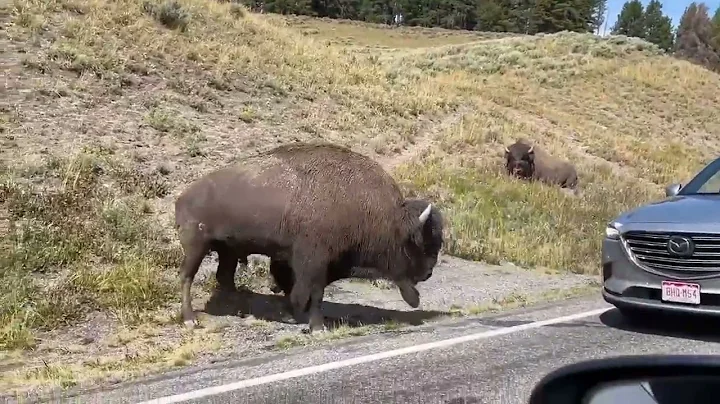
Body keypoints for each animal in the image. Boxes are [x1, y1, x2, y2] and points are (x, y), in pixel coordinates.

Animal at [174, 142, 444, 333]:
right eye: (421, 244)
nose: (428, 272)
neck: (385, 217)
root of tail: (184, 196)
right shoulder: (314, 261)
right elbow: (312, 292)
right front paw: (316, 326)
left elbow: (295, 288)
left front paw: (293, 314)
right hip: (196, 246)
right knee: (187, 277)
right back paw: (190, 320)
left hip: (227, 250)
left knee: (225, 277)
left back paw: (241, 311)